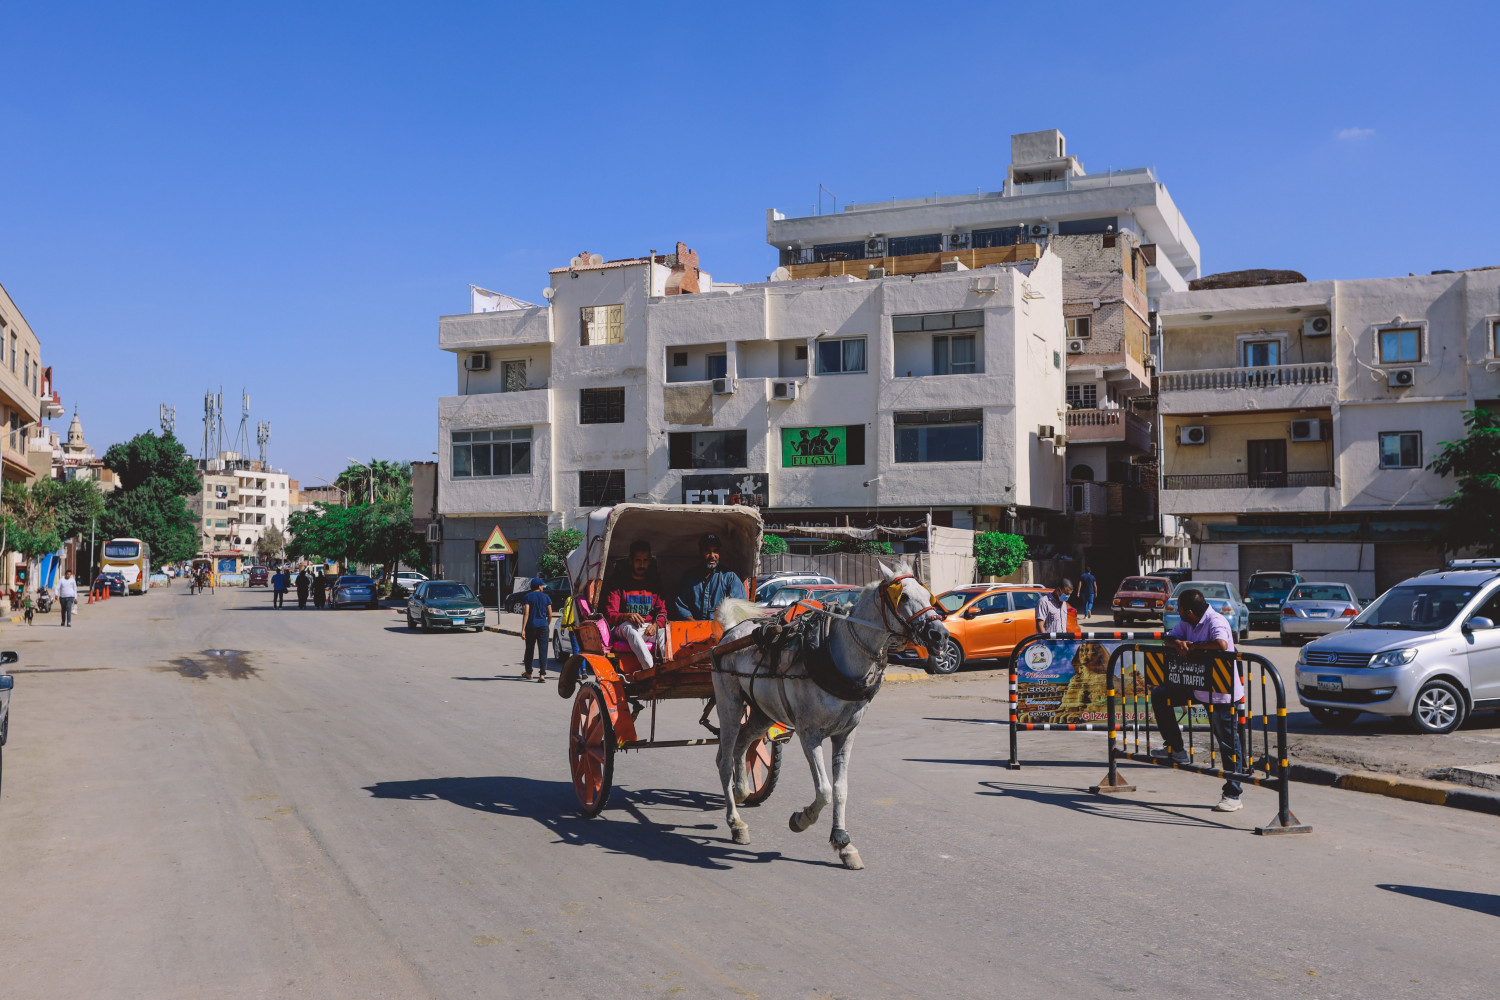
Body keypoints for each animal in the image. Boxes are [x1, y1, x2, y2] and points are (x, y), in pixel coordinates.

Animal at [708, 563, 942, 869]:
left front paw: (843, 842)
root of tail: (729, 633)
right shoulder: (810, 735)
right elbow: (824, 790)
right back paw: (735, 822)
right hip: (730, 704)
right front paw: (801, 819)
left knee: (742, 746)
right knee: (724, 758)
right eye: (902, 597)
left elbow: (840, 788)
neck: (837, 655)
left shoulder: (846, 734)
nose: (939, 633)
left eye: (928, 596)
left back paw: (741, 791)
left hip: (762, 712)